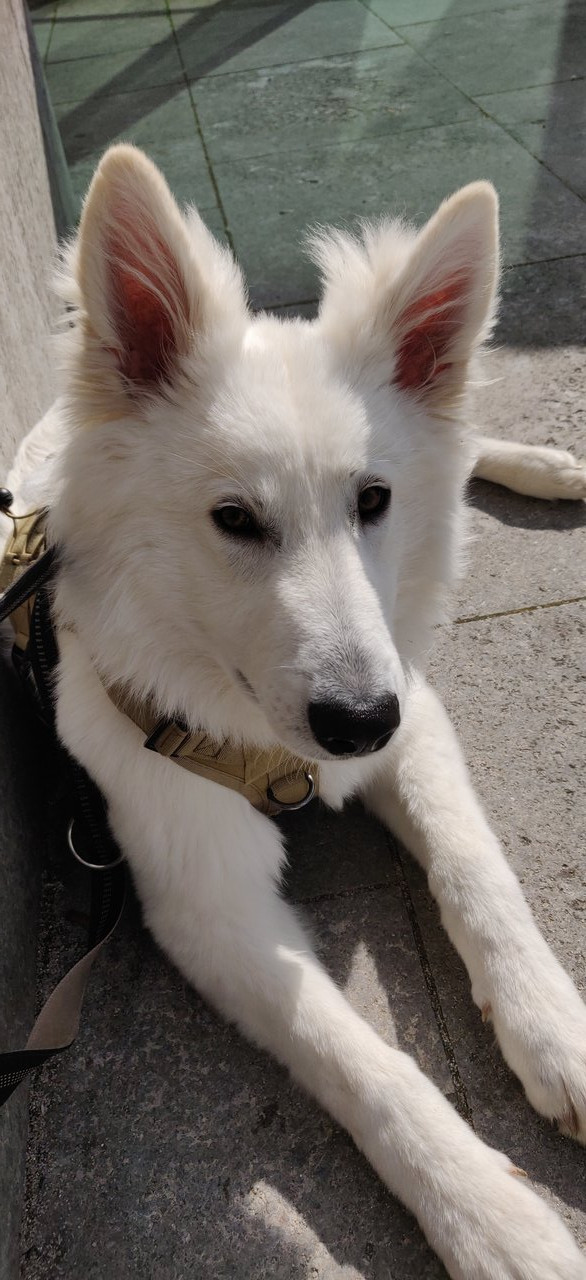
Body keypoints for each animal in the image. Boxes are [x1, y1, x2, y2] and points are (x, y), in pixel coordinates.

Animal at [3, 146, 586, 1279]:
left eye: (373, 502)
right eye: (235, 518)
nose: (358, 723)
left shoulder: (415, 713)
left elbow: (478, 871)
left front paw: (555, 1031)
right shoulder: (208, 902)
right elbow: (363, 1062)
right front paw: (492, 1219)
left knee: (467, 438)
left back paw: (544, 464)